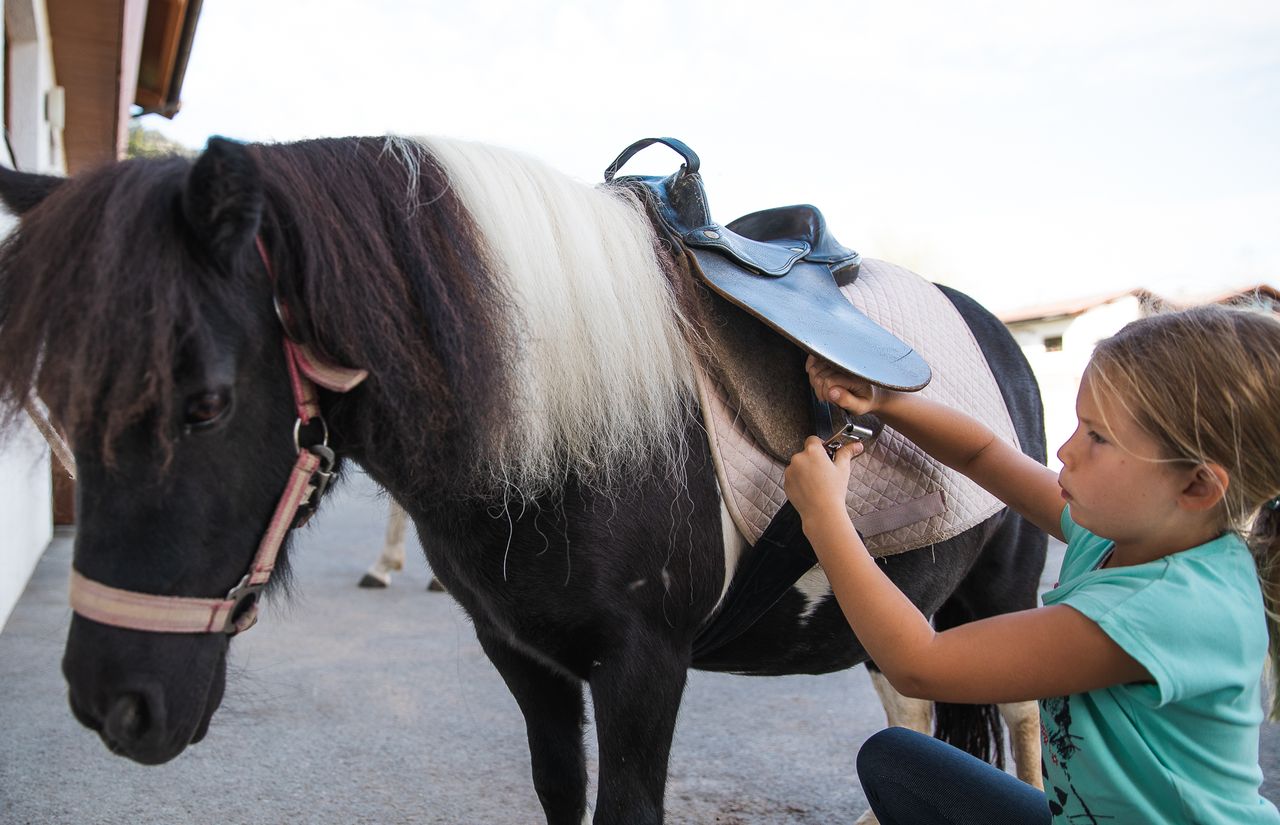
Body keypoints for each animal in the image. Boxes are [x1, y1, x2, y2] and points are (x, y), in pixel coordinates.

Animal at [0, 133, 1044, 818]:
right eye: (56, 397)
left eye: (207, 403)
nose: (113, 704)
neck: (567, 428)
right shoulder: (525, 657)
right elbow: (557, 791)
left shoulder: (644, 668)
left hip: (1001, 607)